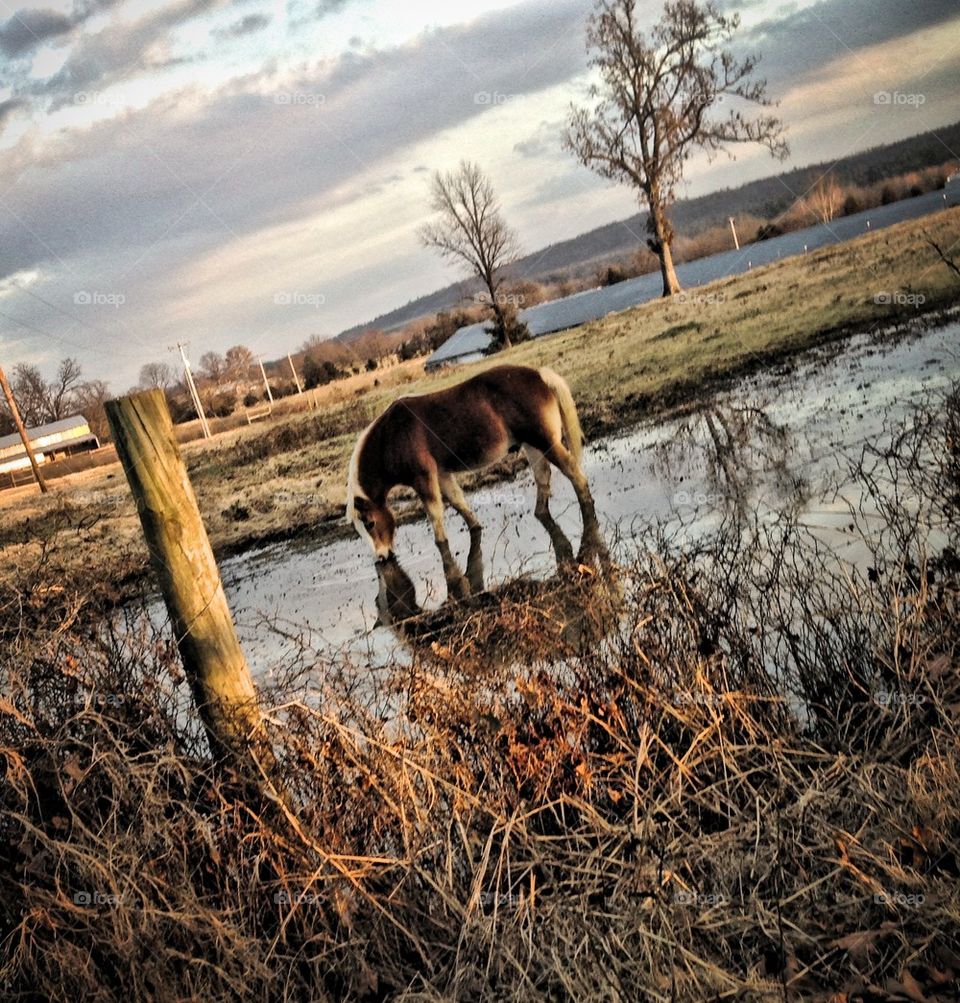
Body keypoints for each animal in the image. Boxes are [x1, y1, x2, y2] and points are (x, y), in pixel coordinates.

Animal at [346, 364, 605, 601]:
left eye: (370, 523)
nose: (382, 557)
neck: (392, 436)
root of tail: (540, 375)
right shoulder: (442, 474)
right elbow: (457, 501)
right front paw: (475, 526)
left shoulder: (424, 478)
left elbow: (435, 513)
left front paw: (441, 543)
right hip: (532, 445)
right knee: (542, 476)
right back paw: (540, 511)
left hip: (544, 442)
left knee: (573, 472)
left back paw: (587, 507)